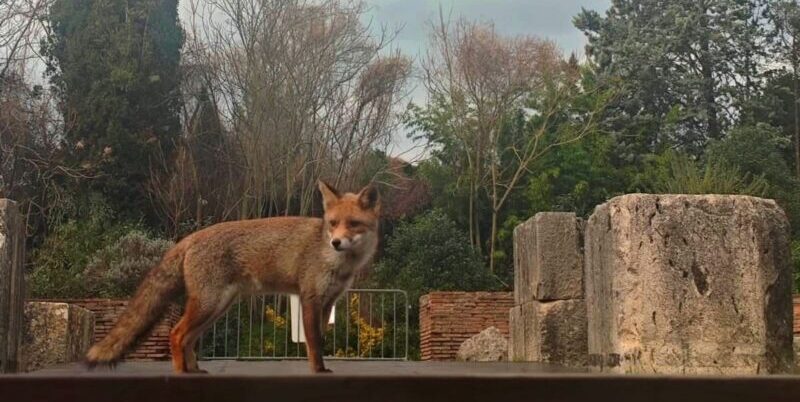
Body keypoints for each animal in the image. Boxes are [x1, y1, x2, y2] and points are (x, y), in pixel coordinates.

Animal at [86, 181, 380, 372]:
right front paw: (318, 371)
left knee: (187, 339)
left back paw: (194, 371)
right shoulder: (310, 298)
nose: (336, 242)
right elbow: (315, 343)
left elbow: (322, 339)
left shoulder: (328, 302)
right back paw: (181, 373)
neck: (337, 262)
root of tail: (191, 237)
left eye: (353, 224)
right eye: (333, 224)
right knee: (176, 334)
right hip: (209, 305)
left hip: (218, 308)